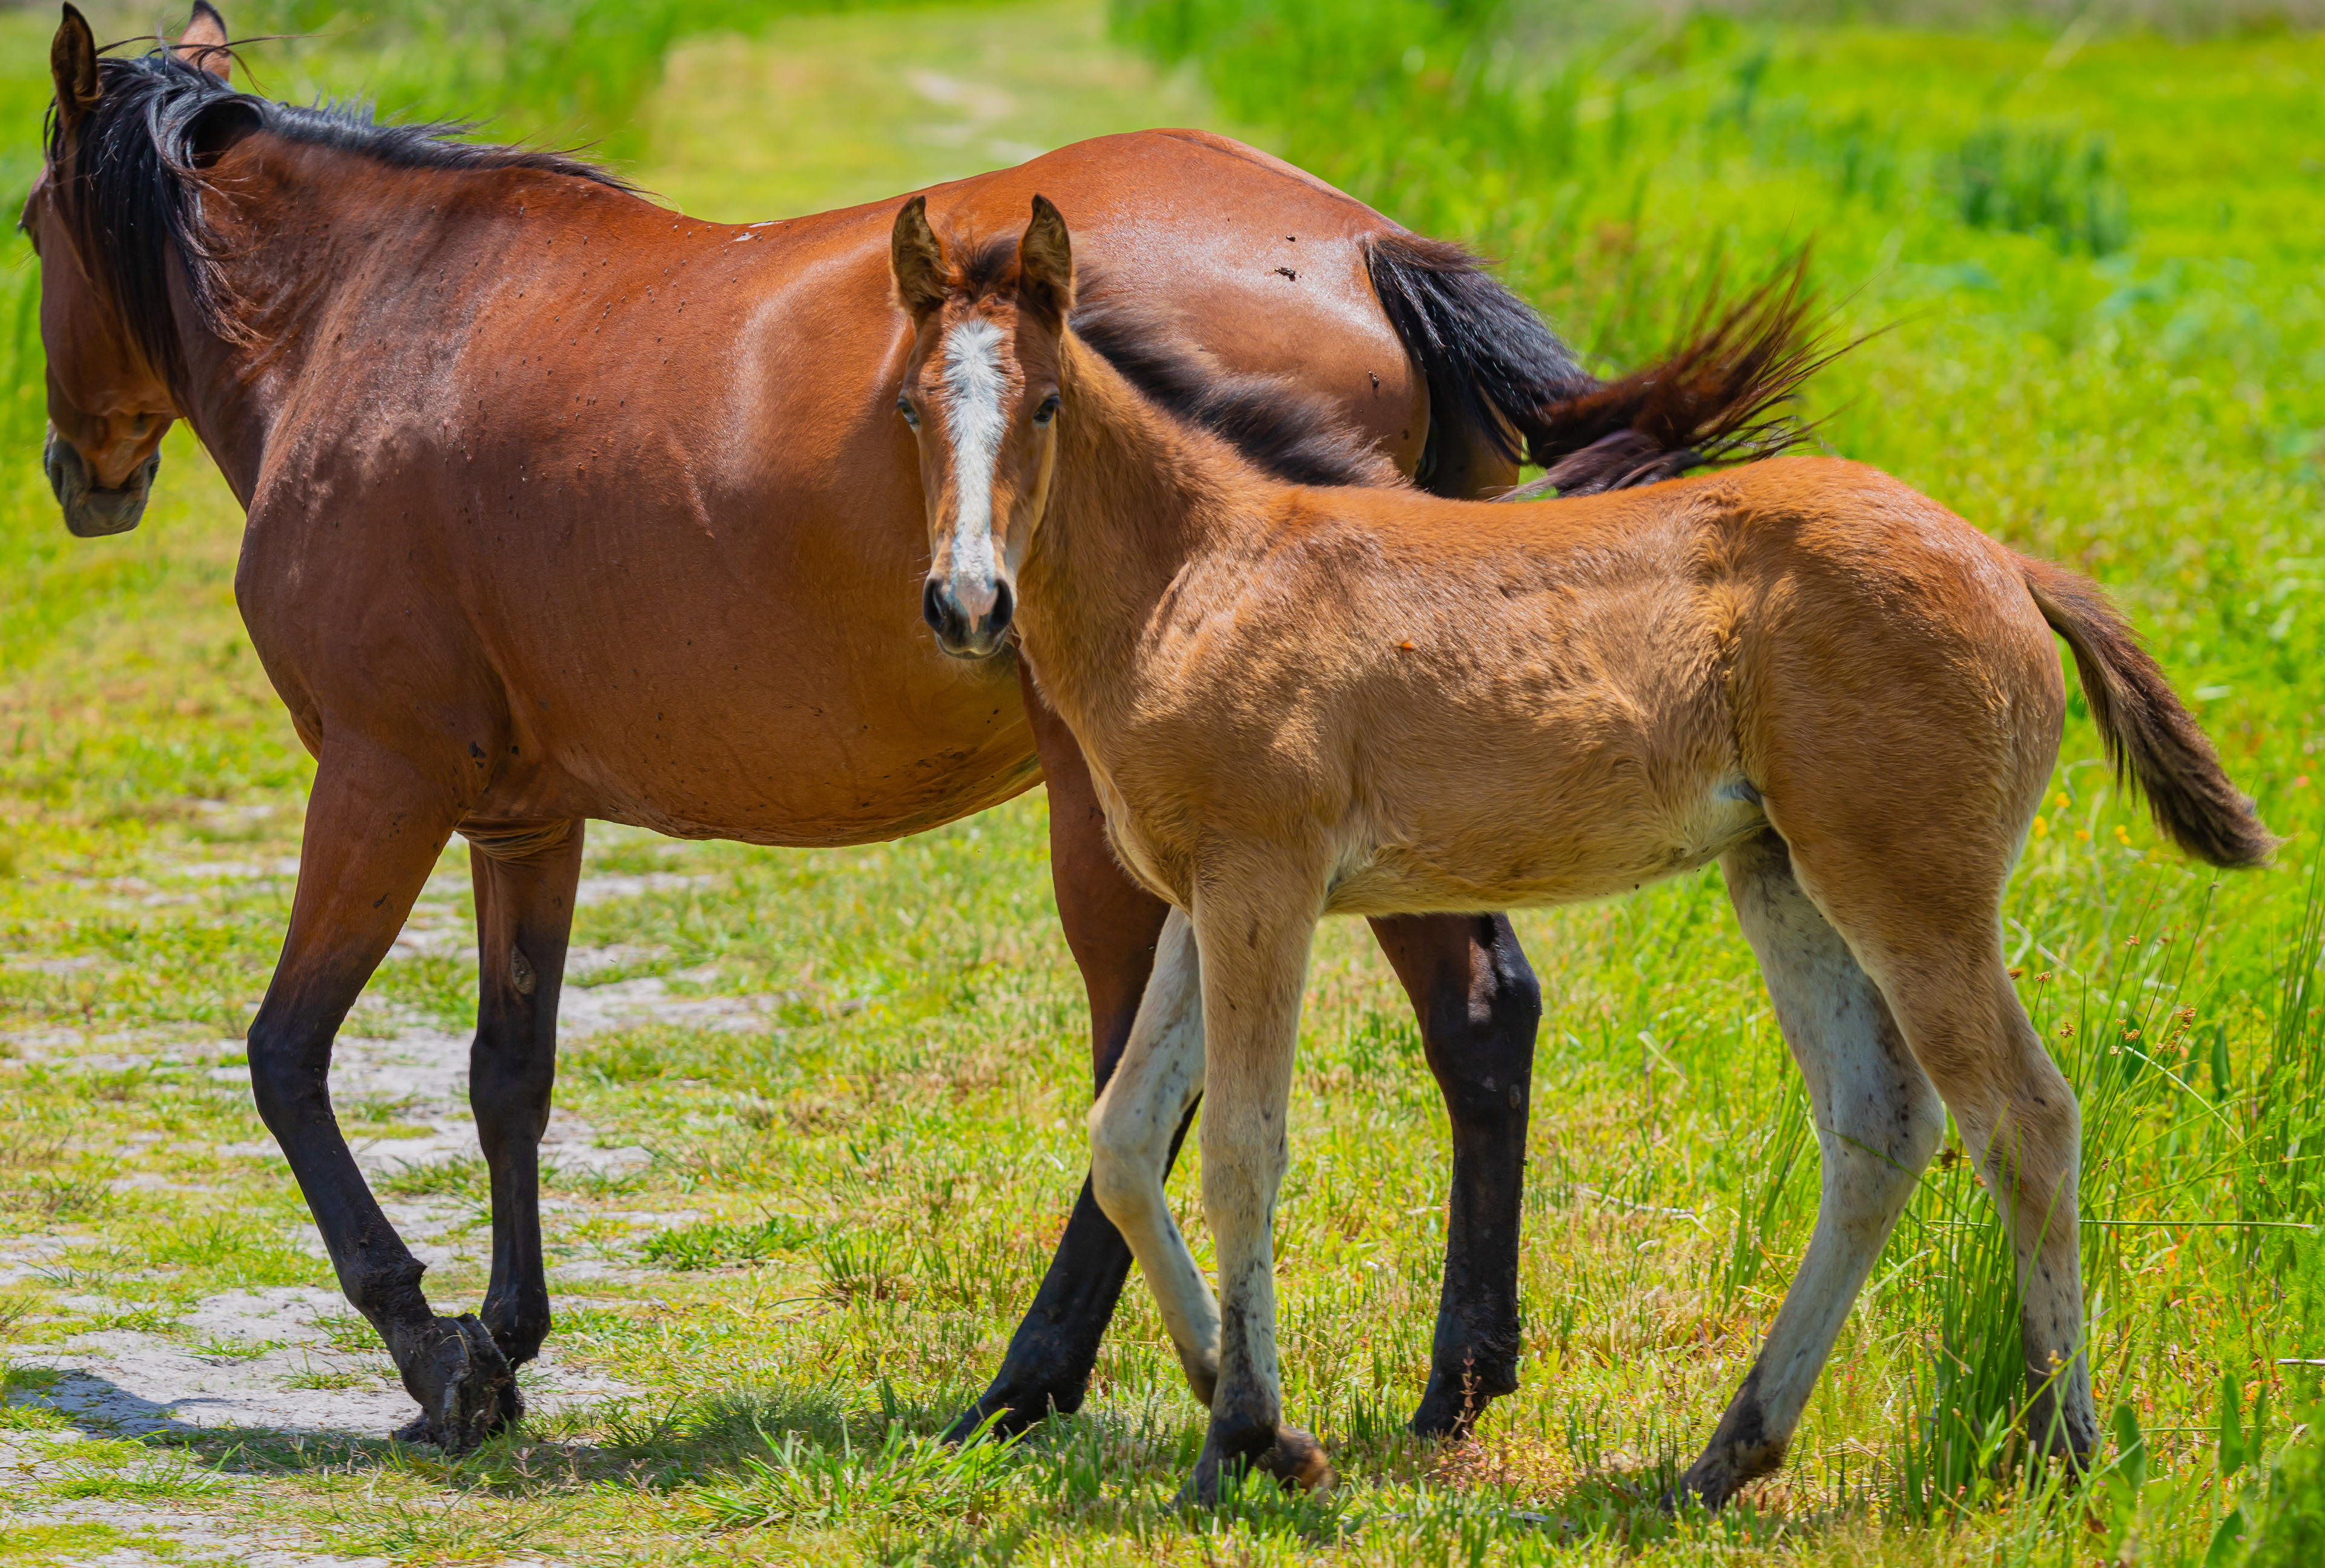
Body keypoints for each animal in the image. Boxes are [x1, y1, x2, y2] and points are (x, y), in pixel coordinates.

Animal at [28, 6, 1810, 1450]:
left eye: (31, 220)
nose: (77, 471)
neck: (385, 315)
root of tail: (1365, 251)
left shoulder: (381, 780)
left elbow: (287, 1056)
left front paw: (433, 1348)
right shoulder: (524, 814)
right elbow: (507, 1070)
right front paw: (510, 1343)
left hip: (1152, 823)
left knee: (1165, 1082)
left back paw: (1039, 1382)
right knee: (1474, 1019)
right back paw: (1451, 1381)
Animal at [887, 195, 2273, 1504]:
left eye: (1048, 404)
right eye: (908, 406)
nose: (965, 604)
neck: (1200, 573)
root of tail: (2005, 560)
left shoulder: (1261, 885)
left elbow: (1238, 1146)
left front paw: (1239, 1438)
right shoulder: (1198, 891)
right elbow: (1124, 1139)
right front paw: (1263, 1419)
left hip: (1912, 890)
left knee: (2022, 1119)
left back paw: (2064, 1446)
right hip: (1784, 874)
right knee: (1878, 1124)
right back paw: (1727, 1454)